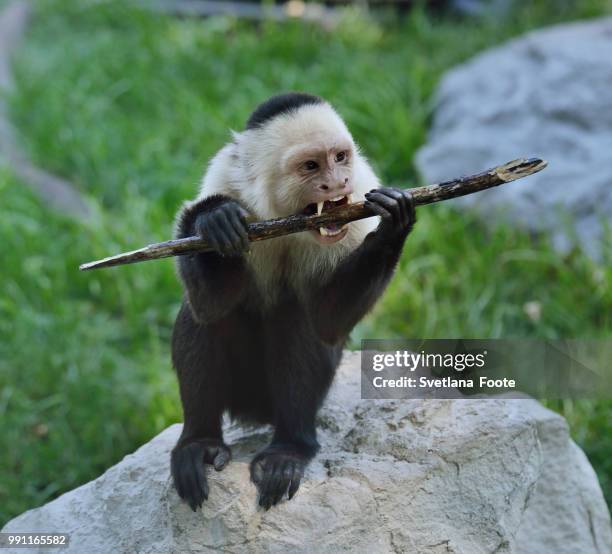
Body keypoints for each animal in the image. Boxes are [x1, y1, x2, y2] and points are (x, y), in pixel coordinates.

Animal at [170, 90, 416, 508]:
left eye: (340, 158)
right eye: (311, 166)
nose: (337, 182)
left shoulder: (360, 196)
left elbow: (328, 323)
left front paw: (392, 228)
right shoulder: (225, 177)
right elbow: (208, 306)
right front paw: (213, 219)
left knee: (296, 319)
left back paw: (289, 449)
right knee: (206, 317)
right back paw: (200, 442)